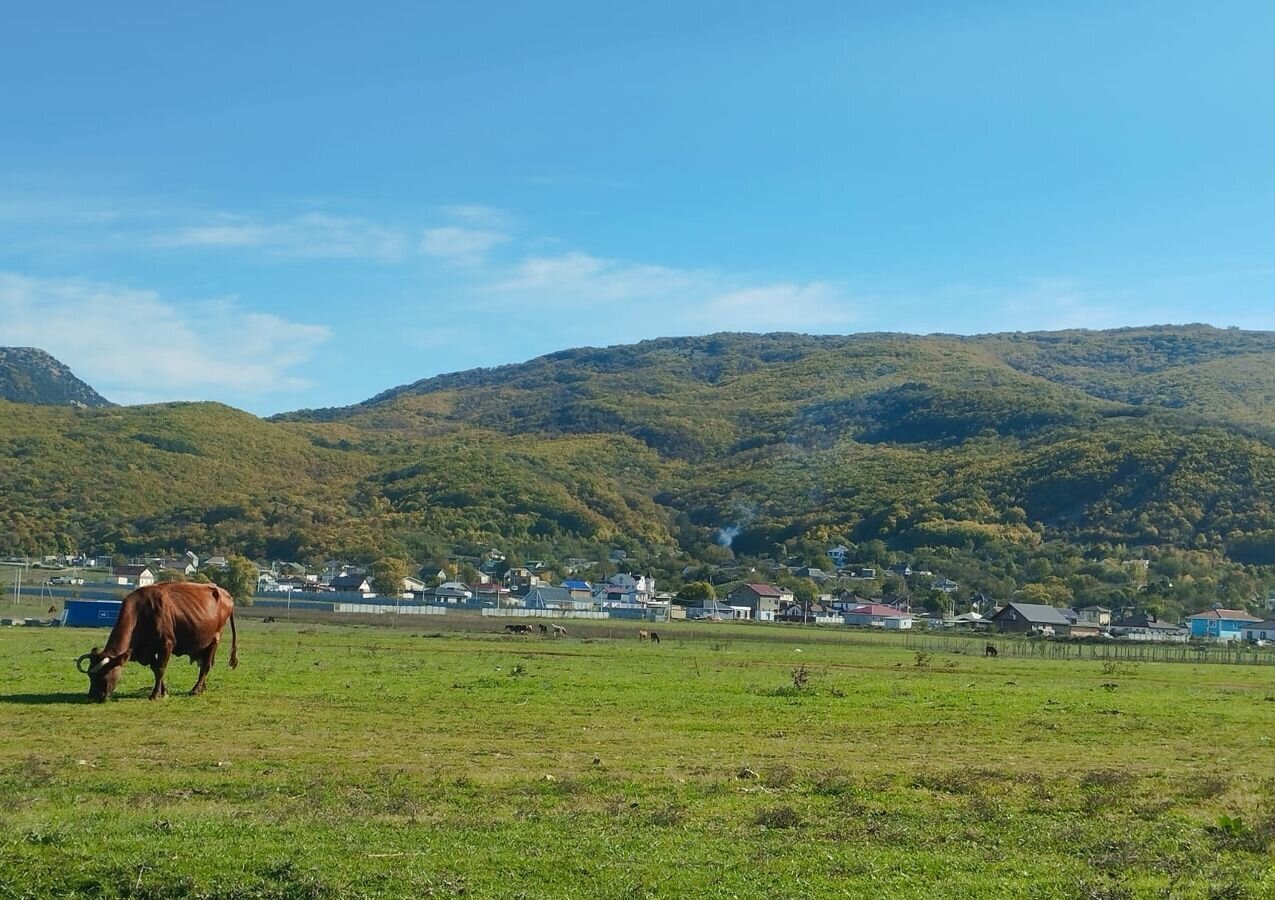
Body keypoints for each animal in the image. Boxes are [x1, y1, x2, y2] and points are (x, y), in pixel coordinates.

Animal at [75, 581, 240, 703]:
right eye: (90, 677)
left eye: (103, 674)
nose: (93, 697)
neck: (141, 613)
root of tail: (225, 594)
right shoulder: (147, 651)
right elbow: (155, 669)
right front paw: (164, 692)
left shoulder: (166, 644)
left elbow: (161, 669)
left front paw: (155, 695)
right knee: (207, 664)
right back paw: (202, 688)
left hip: (213, 640)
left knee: (205, 665)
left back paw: (196, 689)